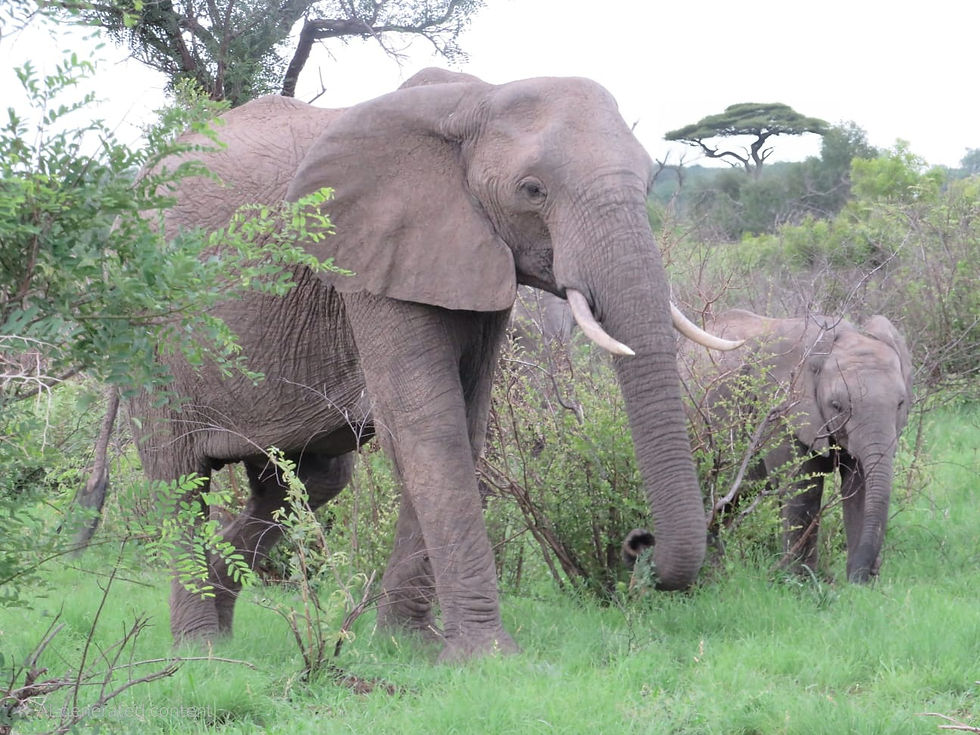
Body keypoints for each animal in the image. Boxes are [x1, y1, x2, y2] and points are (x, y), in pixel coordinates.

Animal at [77, 68, 739, 662]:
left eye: (649, 185)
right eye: (532, 190)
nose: (638, 543)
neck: (477, 99)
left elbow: (463, 428)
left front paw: (406, 647)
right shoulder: (368, 254)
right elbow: (429, 427)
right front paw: (489, 660)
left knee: (310, 481)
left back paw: (222, 601)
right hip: (148, 331)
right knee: (178, 479)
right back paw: (200, 653)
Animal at [678, 308, 913, 582]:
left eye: (900, 403)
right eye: (836, 406)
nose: (873, 569)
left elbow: (859, 487)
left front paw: (860, 585)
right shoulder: (779, 410)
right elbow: (803, 489)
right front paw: (801, 583)